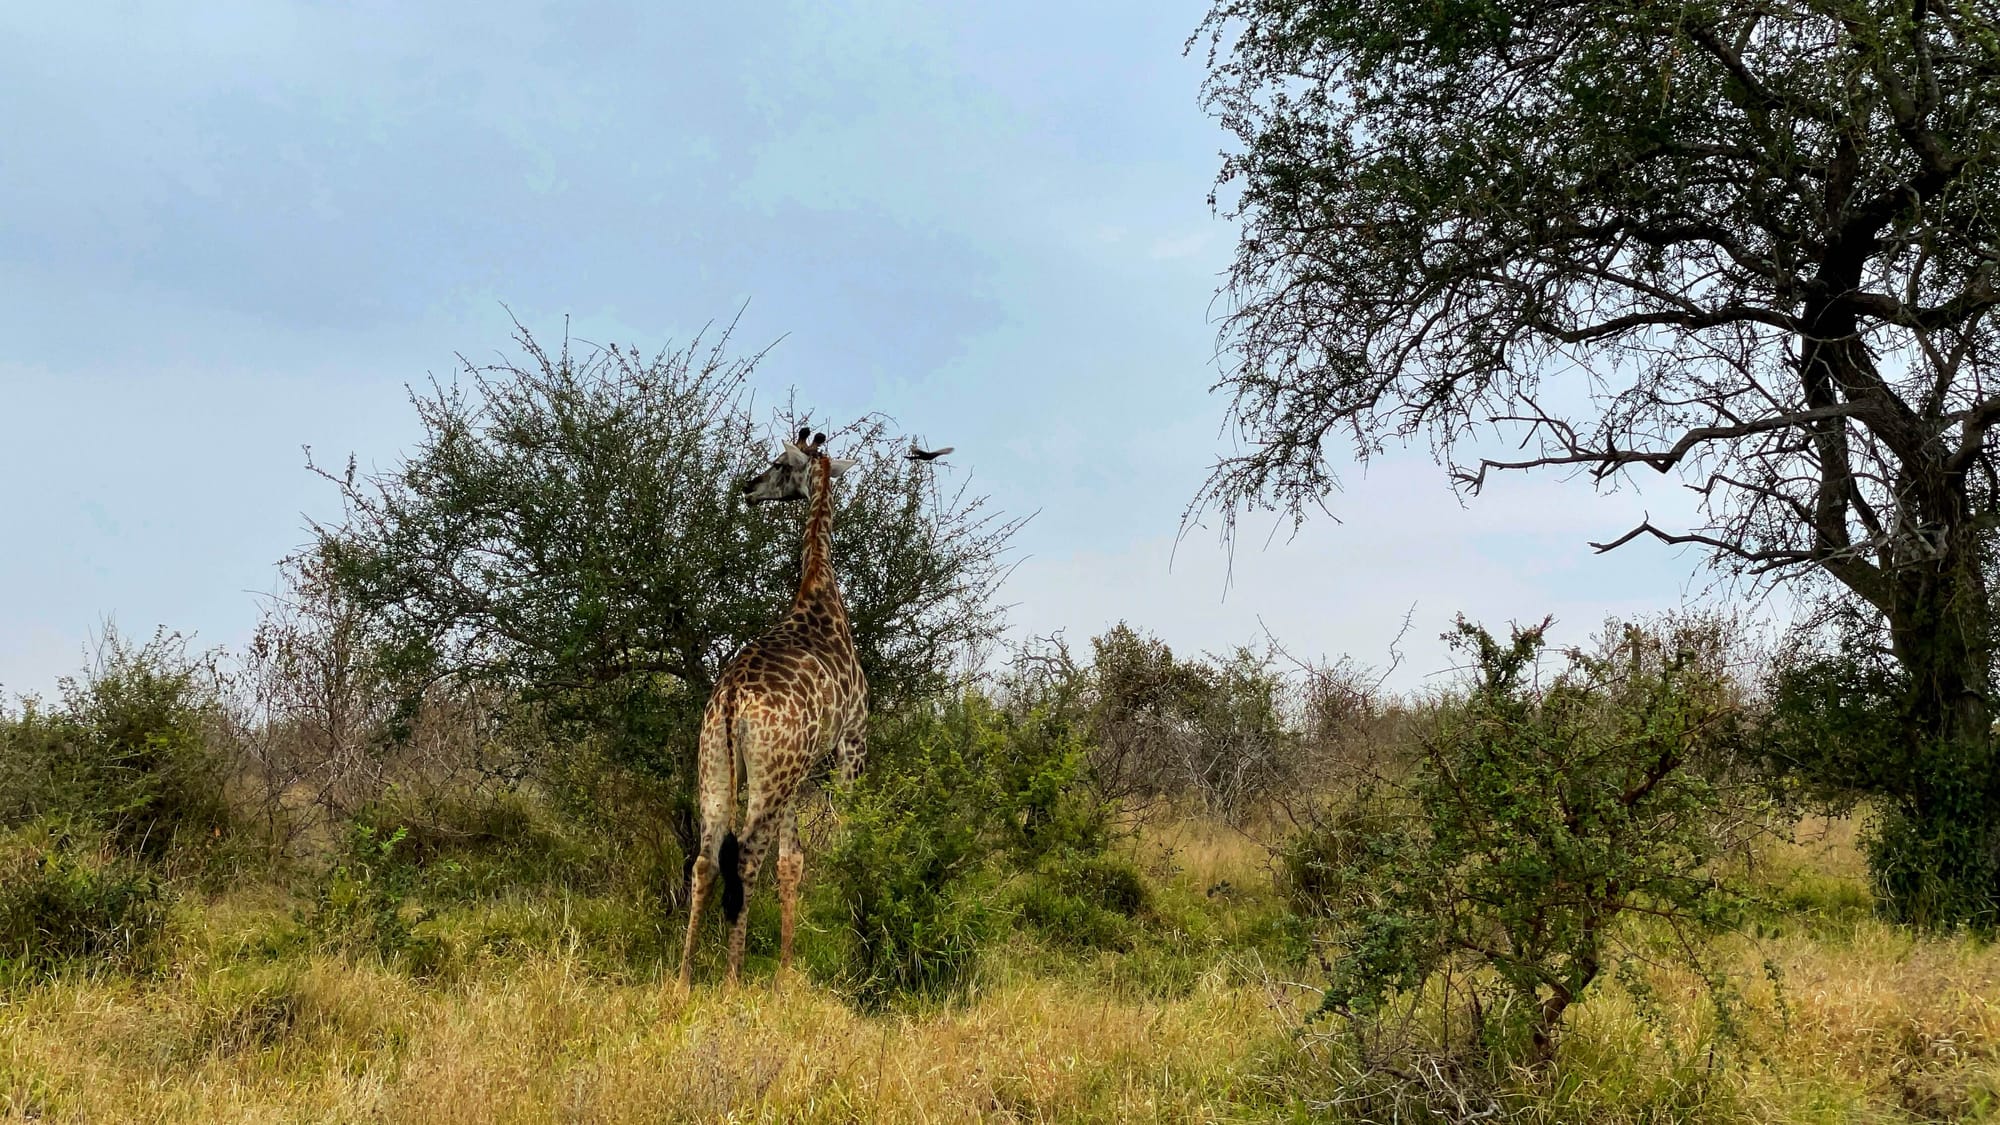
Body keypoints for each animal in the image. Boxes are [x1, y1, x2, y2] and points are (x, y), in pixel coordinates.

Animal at [680, 424, 868, 984]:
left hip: (716, 764)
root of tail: (731, 701)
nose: (749, 487)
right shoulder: (852, 742)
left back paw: (684, 980)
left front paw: (785, 971)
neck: (819, 592)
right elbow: (840, 841)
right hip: (771, 774)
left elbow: (792, 861)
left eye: (780, 466)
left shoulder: (799, 773)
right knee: (743, 859)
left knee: (704, 860)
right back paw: (731, 980)